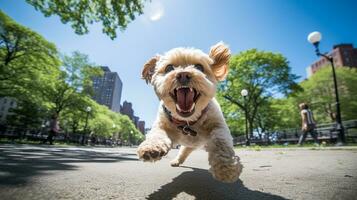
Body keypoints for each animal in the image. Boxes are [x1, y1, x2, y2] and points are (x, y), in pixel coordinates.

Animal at [136, 42, 242, 183]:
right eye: (169, 68)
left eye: (199, 67)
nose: (183, 74)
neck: (188, 122)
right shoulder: (162, 124)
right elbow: (156, 134)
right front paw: (151, 148)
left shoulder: (218, 126)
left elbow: (221, 143)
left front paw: (226, 168)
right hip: (187, 145)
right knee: (183, 151)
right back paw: (176, 161)